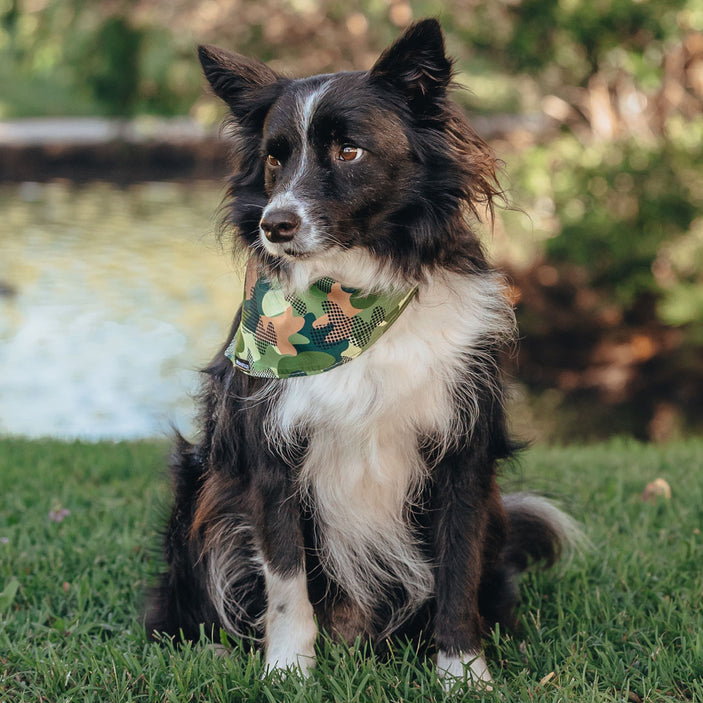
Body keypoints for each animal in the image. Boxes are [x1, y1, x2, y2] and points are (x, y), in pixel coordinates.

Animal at [146, 19, 580, 692]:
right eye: (275, 158)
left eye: (349, 152)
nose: (274, 224)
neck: (350, 304)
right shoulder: (271, 456)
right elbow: (286, 581)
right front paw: (287, 672)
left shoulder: (462, 453)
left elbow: (457, 573)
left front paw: (463, 673)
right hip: (200, 485)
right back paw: (212, 648)